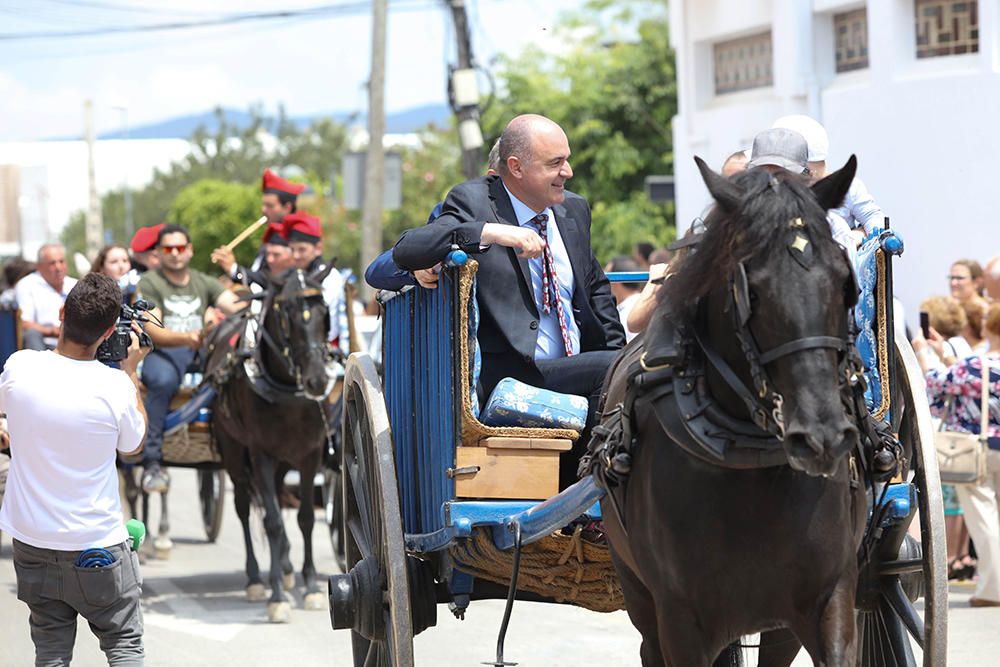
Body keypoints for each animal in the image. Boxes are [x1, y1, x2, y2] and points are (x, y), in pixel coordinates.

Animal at [205, 266, 334, 628]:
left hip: (283, 462)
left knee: (276, 494)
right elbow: (273, 522)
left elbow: (305, 517)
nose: (317, 380)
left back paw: (288, 569)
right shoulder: (260, 454)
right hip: (235, 452)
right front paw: (276, 598)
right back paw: (254, 580)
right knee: (245, 508)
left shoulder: (309, 454)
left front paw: (311, 586)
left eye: (325, 314)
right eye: (286, 316)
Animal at [592, 159, 868, 664]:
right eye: (751, 290)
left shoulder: (831, 595)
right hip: (639, 592)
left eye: (845, 283)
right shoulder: (681, 620)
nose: (821, 436)